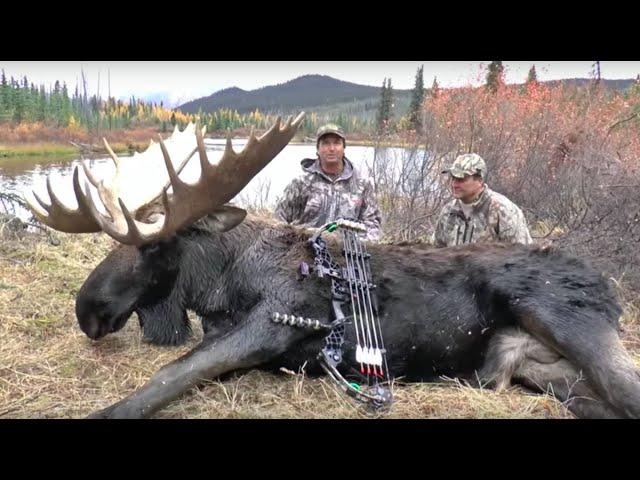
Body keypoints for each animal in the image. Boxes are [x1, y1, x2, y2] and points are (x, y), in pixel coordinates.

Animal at [25, 114, 640, 418]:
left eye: (154, 245)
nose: (88, 310)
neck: (226, 281)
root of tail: (608, 288)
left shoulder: (270, 326)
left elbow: (167, 378)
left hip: (564, 318)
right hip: (547, 372)